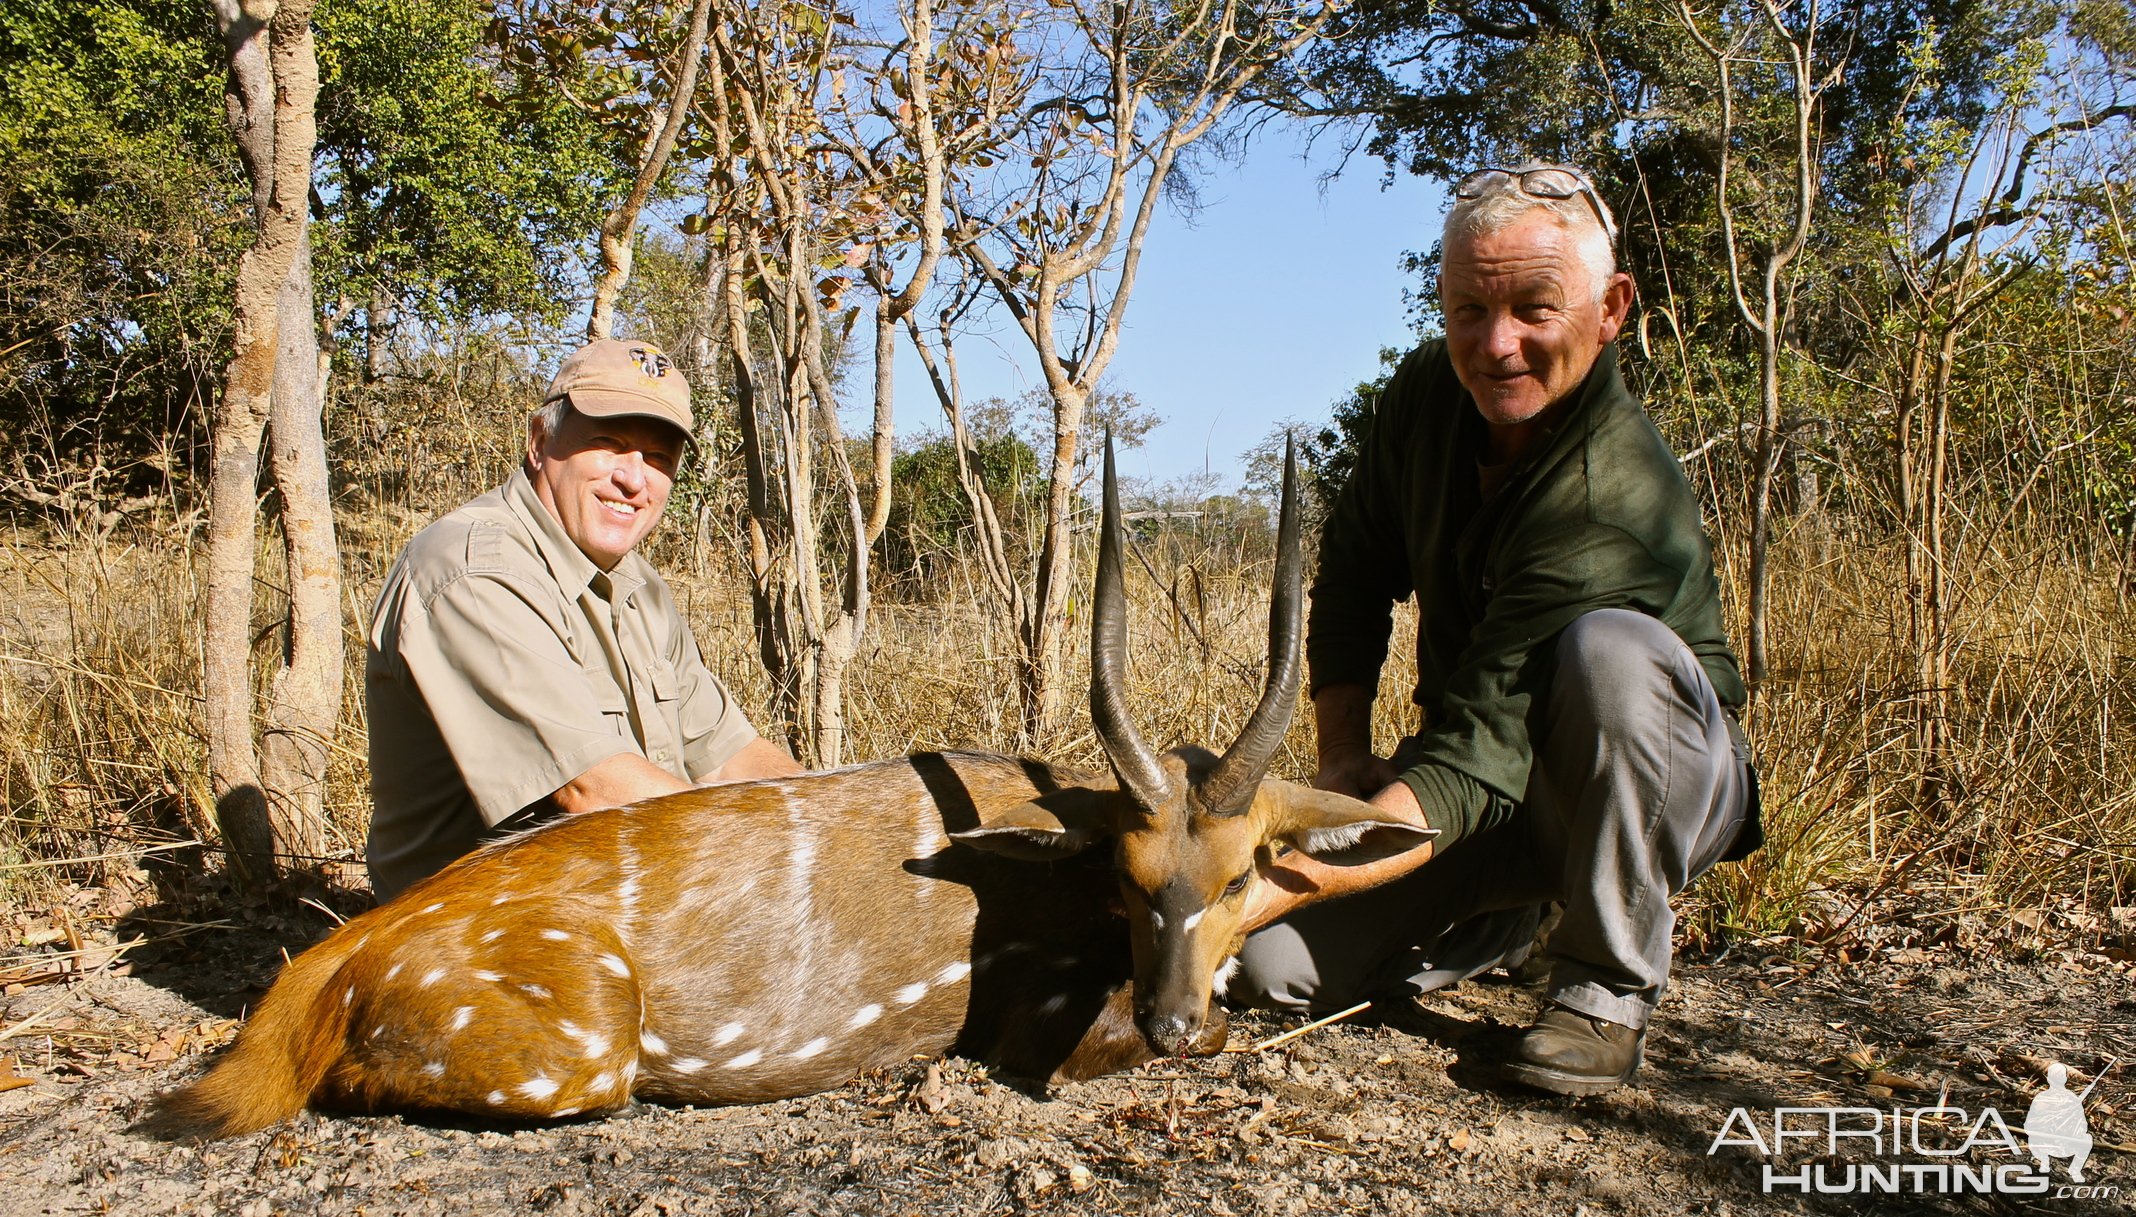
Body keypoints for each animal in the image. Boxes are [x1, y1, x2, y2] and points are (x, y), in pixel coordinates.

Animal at [158, 439, 1426, 1135]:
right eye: (1128, 874)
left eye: (1246, 868)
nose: (1172, 1021)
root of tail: (330, 959)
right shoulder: (1041, 1028)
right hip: (582, 1047)